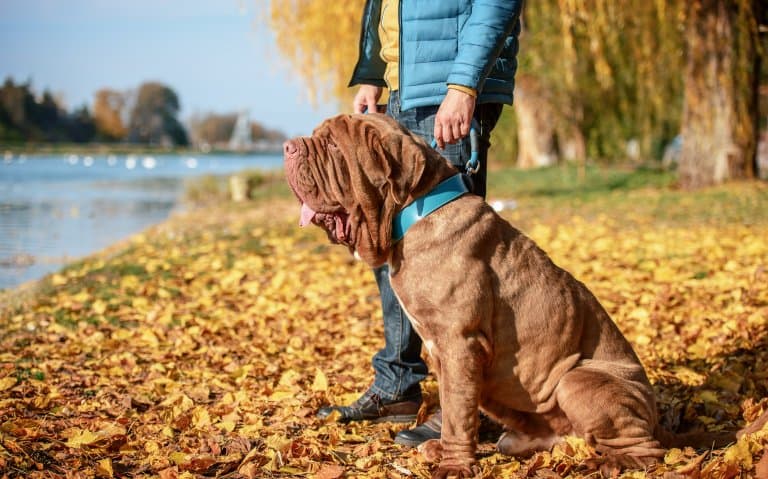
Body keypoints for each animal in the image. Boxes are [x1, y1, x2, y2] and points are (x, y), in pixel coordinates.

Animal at [282, 114, 768, 478]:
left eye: (331, 146)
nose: (289, 146)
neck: (413, 211)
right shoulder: (444, 351)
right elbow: (455, 406)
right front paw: (444, 447)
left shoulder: (459, 343)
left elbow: (457, 408)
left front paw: (454, 464)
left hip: (579, 380)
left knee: (647, 449)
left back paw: (612, 462)